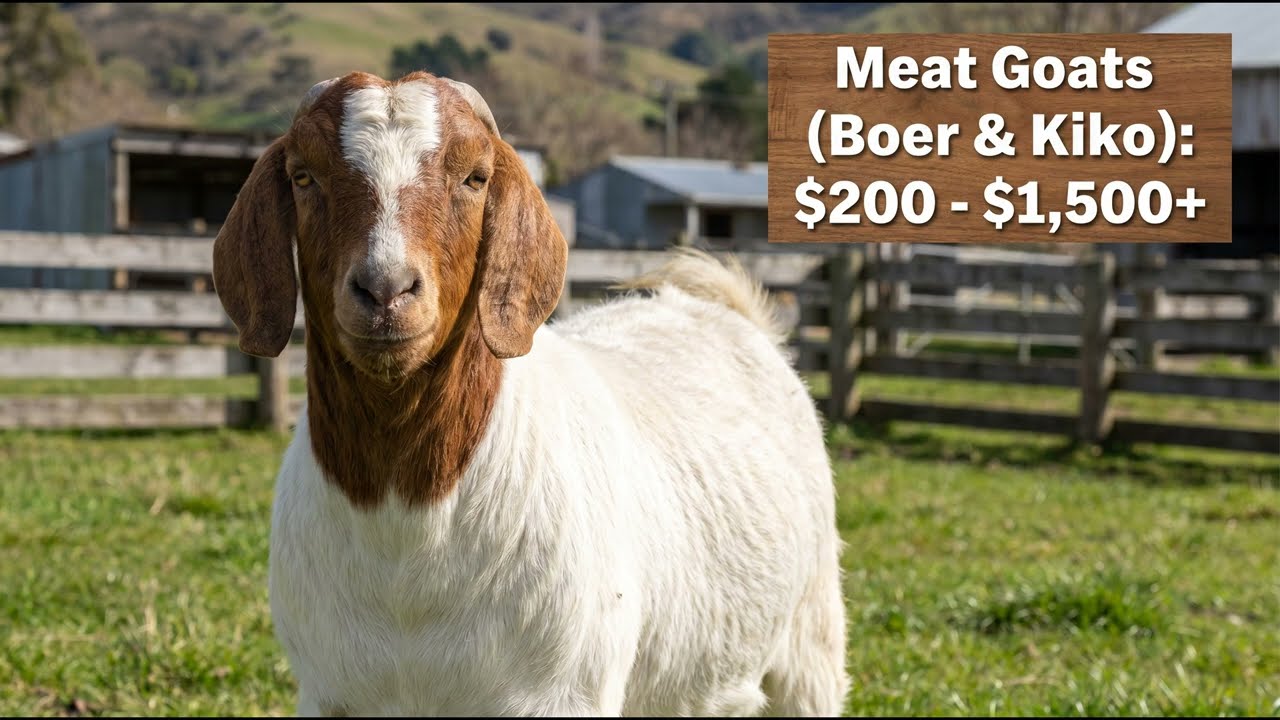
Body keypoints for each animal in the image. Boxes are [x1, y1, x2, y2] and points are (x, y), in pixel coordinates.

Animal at [212, 71, 848, 717]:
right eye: (303, 176)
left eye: (475, 176)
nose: (386, 289)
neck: (406, 526)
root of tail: (722, 308)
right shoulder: (331, 693)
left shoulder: (563, 692)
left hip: (812, 641)